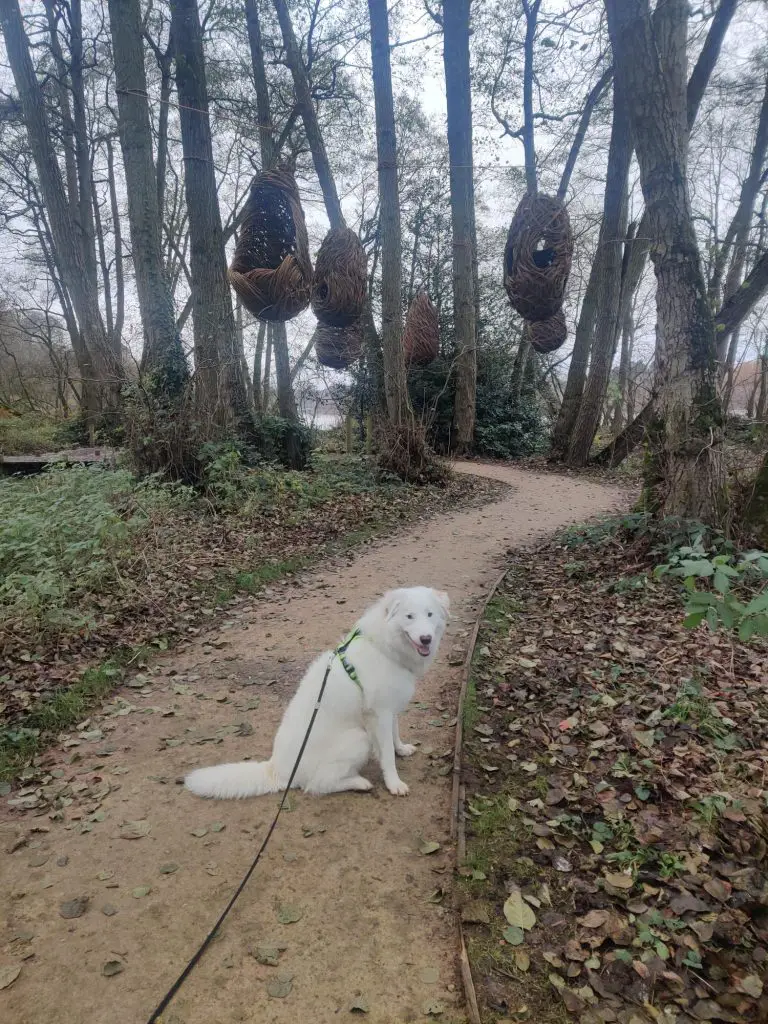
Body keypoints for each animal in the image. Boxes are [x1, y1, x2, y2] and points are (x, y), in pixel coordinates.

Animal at [185, 585, 448, 798]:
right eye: (409, 616)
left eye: (429, 614)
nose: (426, 638)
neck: (385, 647)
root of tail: (277, 770)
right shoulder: (379, 714)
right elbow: (387, 756)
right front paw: (394, 783)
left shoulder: (390, 709)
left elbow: (394, 736)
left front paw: (401, 749)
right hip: (358, 737)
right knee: (317, 785)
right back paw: (359, 783)